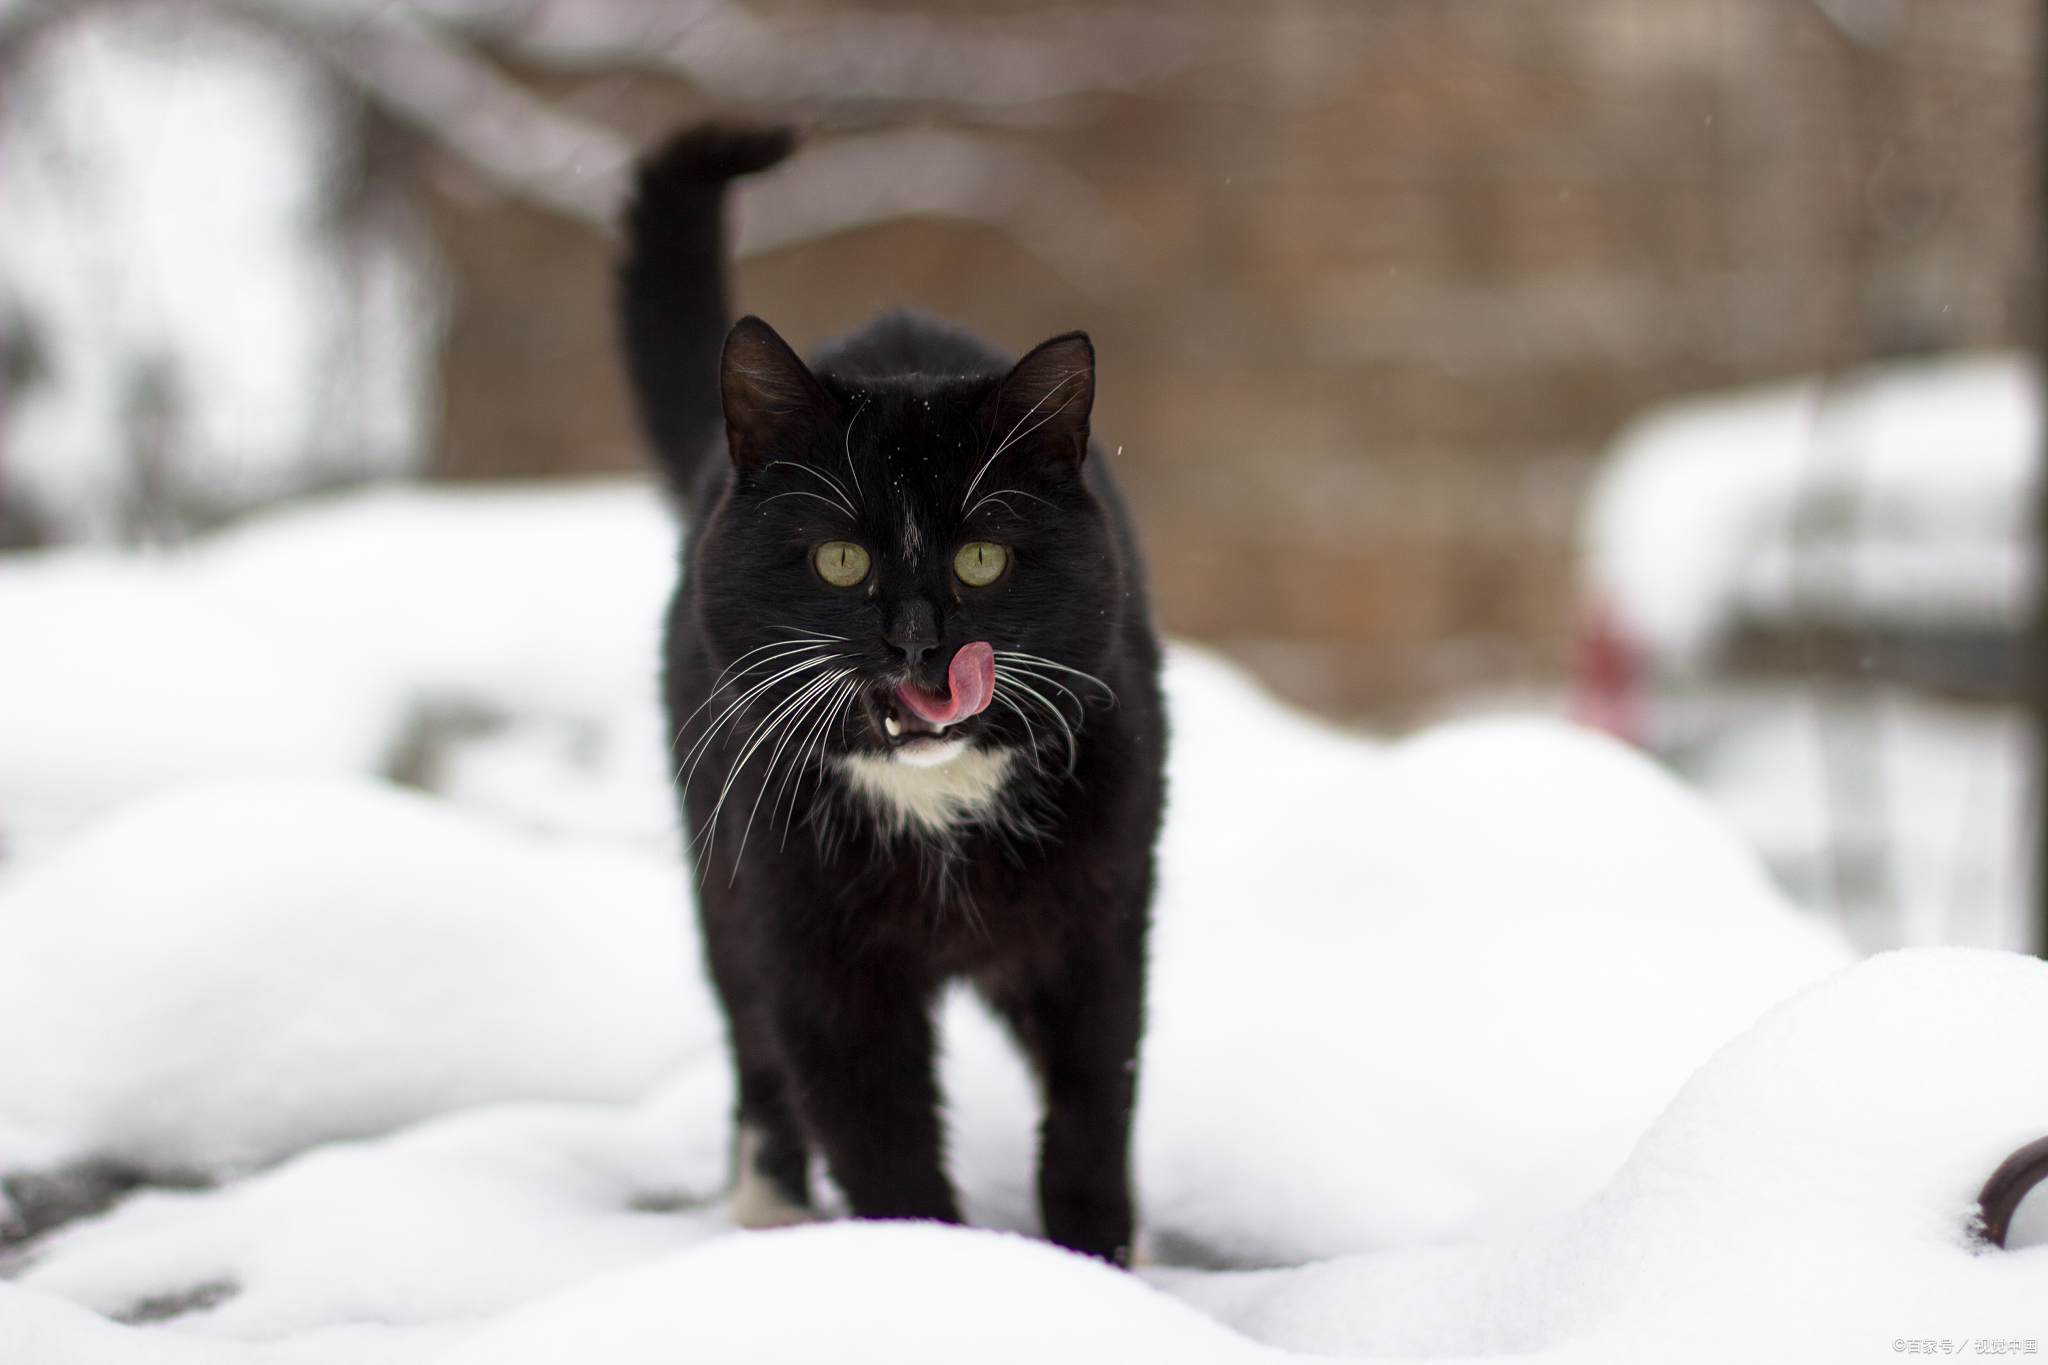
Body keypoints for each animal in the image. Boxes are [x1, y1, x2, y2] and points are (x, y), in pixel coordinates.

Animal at [610, 122, 1171, 1268]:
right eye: (838, 559)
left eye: (983, 557)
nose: (920, 640)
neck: (934, 806)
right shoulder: (808, 946)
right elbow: (873, 1126)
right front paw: (926, 1264)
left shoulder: (1102, 915)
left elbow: (1095, 1100)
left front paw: (1097, 1264)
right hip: (717, 868)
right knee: (754, 1048)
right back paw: (769, 1202)